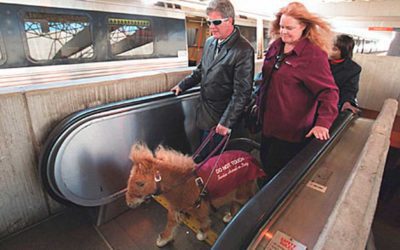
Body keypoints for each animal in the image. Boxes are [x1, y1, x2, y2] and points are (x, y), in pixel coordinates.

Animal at [125, 144, 258, 247]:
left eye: (140, 183)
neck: (184, 184)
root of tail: (251, 158)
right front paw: (164, 239)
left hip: (242, 193)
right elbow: (170, 223)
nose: (129, 203)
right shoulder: (175, 208)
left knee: (244, 199)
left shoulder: (200, 209)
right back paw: (230, 216)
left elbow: (203, 221)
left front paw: (202, 234)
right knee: (235, 204)